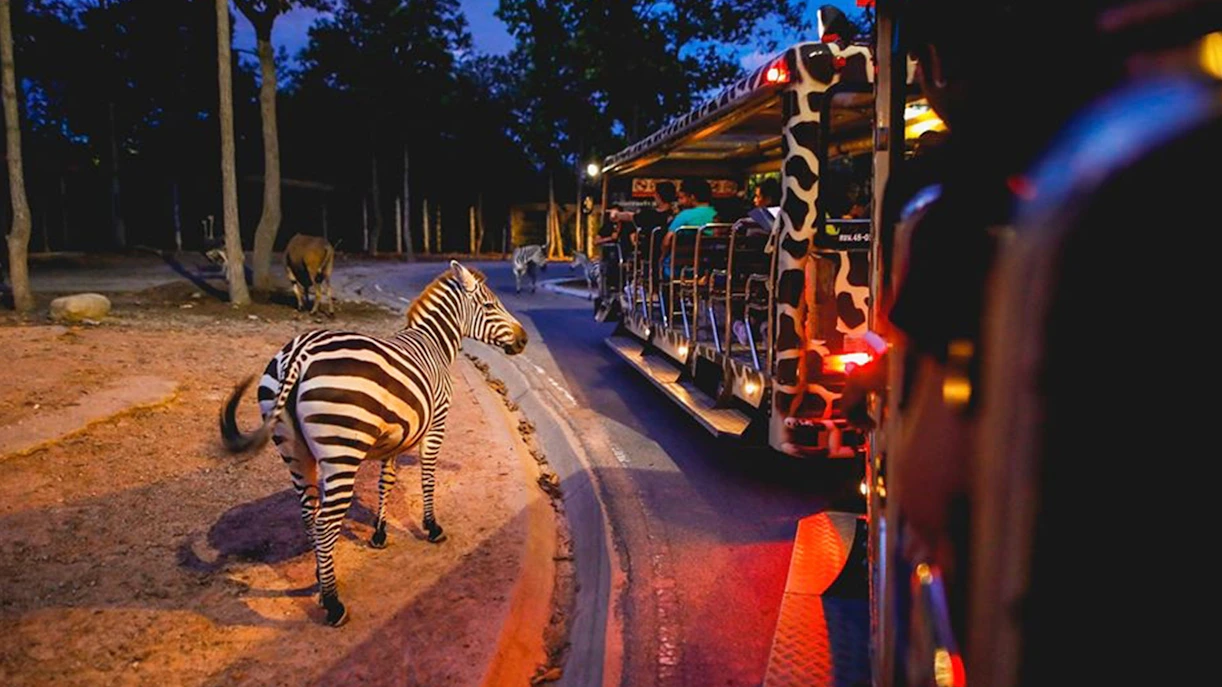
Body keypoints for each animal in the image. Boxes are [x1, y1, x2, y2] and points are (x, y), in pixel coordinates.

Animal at [219, 261, 527, 627]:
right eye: (491, 305)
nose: (524, 340)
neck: (435, 345)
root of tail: (298, 354)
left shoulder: (394, 435)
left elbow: (386, 481)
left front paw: (379, 533)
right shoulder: (436, 422)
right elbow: (428, 476)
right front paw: (431, 527)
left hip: (293, 450)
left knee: (308, 513)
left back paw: (320, 580)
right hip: (341, 451)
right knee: (324, 523)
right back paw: (333, 603)